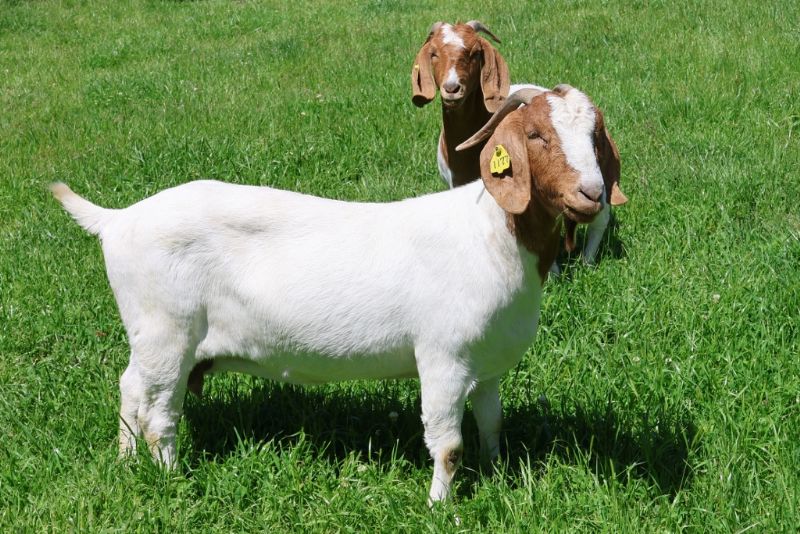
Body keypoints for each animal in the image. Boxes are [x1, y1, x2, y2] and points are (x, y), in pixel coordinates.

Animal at [52, 85, 611, 505]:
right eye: (536, 134)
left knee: (130, 388)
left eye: (594, 135)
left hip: (150, 338)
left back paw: (126, 461)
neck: (490, 233)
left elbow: (491, 422)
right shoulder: (443, 358)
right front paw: (440, 506)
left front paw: (496, 474)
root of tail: (117, 220)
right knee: (160, 416)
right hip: (168, 332)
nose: (591, 194)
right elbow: (448, 444)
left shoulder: (487, 362)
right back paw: (171, 479)